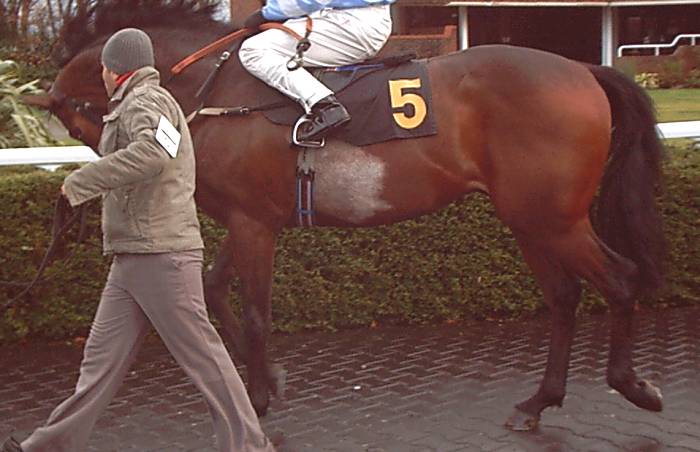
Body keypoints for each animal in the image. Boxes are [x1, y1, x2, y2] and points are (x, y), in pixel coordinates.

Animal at [24, 0, 666, 431]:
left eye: (88, 124)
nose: (101, 187)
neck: (215, 88)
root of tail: (582, 70)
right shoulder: (252, 217)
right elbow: (212, 287)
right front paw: (269, 381)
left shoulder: (254, 224)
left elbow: (255, 314)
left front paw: (257, 398)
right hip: (529, 218)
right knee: (564, 297)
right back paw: (538, 403)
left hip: (554, 218)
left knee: (620, 280)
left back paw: (633, 386)